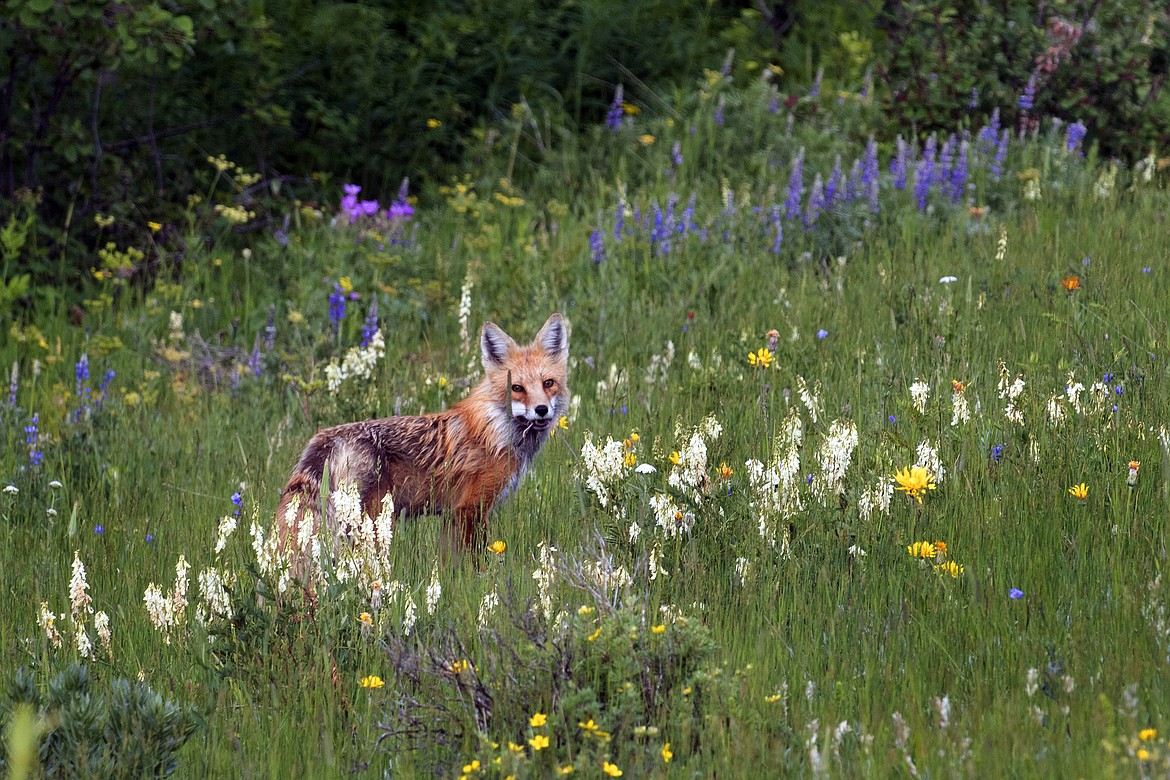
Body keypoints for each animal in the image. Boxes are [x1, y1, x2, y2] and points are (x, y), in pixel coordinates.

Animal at [273, 313, 566, 563]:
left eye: (548, 383)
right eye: (517, 388)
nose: (542, 410)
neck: (497, 430)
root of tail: (325, 438)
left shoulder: (450, 515)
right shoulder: (471, 508)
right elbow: (478, 566)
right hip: (372, 523)